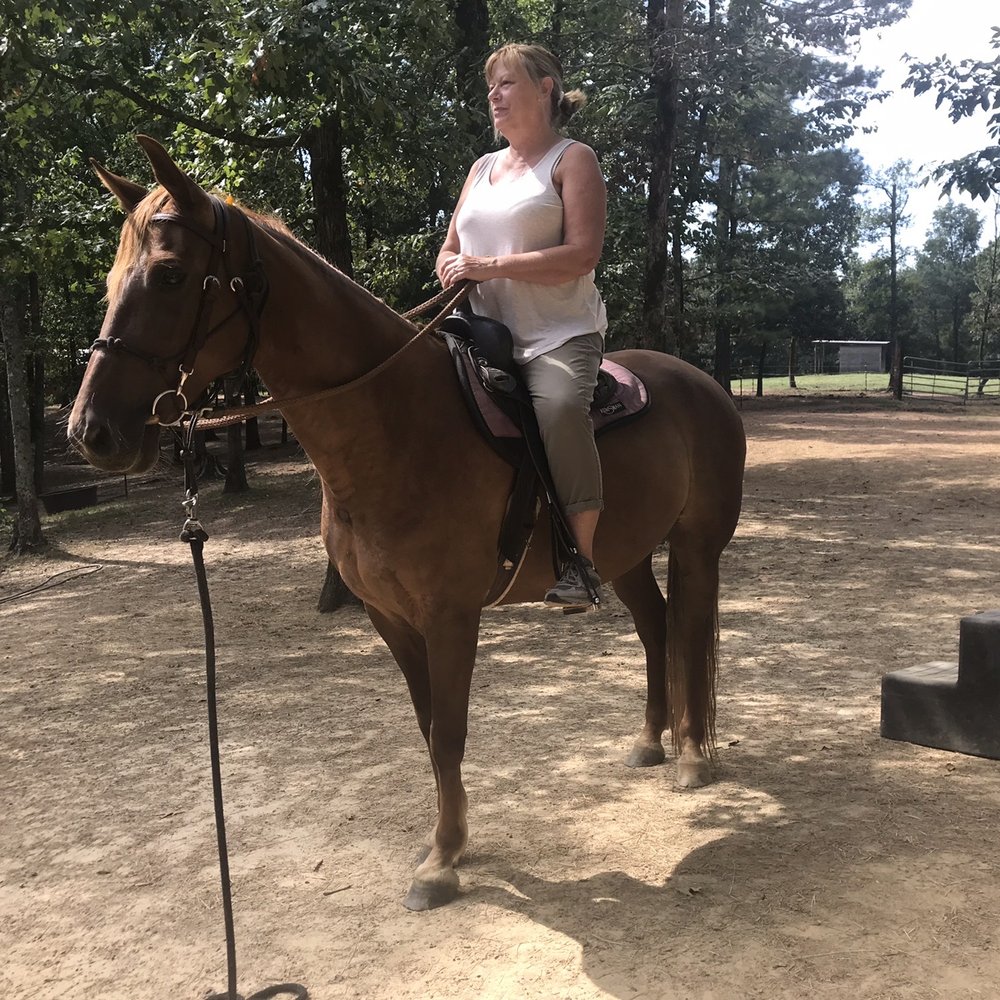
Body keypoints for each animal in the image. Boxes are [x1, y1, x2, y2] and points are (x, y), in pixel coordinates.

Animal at [68, 136, 746, 910]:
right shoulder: (389, 617)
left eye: (171, 275)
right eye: (112, 280)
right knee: (656, 626)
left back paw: (691, 757)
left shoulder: (451, 614)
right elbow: (428, 730)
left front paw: (441, 864)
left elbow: (449, 731)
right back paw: (650, 742)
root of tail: (701, 384)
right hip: (624, 554)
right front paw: (450, 842)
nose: (91, 432)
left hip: (696, 547)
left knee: (688, 629)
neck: (397, 424)